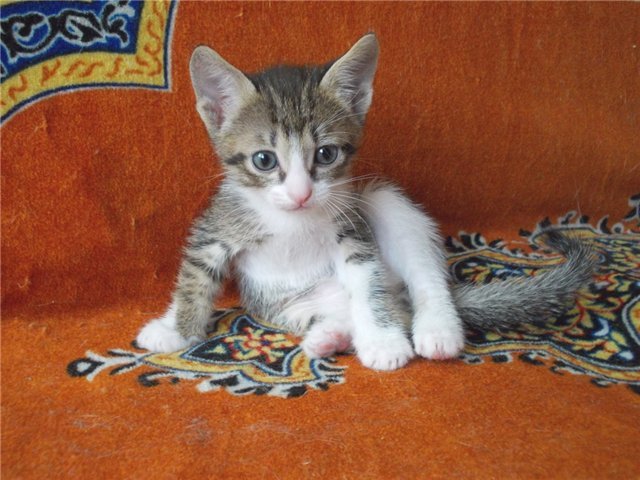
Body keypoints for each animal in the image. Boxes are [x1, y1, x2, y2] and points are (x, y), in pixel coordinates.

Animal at [136, 33, 595, 370]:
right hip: (293, 304)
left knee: (421, 283)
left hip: (382, 202)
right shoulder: (217, 226)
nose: (301, 193)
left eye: (326, 154)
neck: (293, 221)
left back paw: (436, 330)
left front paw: (384, 342)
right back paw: (330, 336)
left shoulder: (353, 232)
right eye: (264, 160)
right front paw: (176, 329)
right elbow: (195, 278)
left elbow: (368, 283)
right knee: (359, 308)